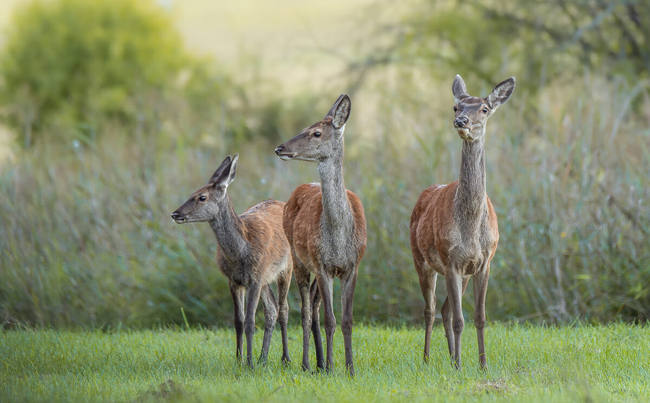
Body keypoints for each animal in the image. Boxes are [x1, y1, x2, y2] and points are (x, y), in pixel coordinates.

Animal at [172, 154, 294, 370]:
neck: (242, 252)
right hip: (265, 278)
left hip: (287, 267)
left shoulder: (255, 278)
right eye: (192, 193)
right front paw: (239, 360)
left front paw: (249, 363)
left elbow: (250, 321)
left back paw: (285, 358)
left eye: (202, 197)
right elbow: (238, 321)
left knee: (284, 308)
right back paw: (263, 358)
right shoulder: (234, 280)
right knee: (272, 308)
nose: (176, 214)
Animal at [274, 94, 364, 376]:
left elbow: (347, 320)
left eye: (316, 133)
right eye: (304, 128)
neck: (339, 237)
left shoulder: (352, 266)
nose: (280, 148)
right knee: (305, 310)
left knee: (312, 306)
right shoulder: (323, 265)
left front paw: (350, 367)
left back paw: (320, 362)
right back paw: (306, 363)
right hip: (299, 259)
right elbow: (329, 320)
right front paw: (334, 367)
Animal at [410, 74, 512, 370]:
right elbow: (459, 319)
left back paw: (451, 357)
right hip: (421, 260)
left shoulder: (483, 262)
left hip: (460, 272)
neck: (470, 228)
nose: (461, 121)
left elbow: (479, 317)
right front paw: (459, 365)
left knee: (444, 310)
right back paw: (428, 359)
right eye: (456, 107)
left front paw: (482, 364)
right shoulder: (451, 260)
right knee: (431, 310)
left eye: (485, 109)